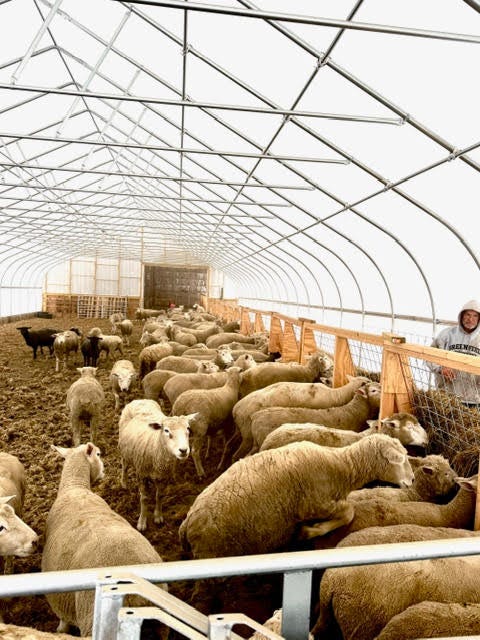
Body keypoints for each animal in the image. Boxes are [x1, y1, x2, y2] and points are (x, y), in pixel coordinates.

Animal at [41, 442, 168, 637]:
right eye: (99, 454)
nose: (104, 470)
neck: (75, 487)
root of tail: (133, 593)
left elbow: (63, 621)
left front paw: (59, 631)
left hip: (92, 618)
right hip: (161, 622)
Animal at [118, 399, 197, 531]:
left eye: (188, 429)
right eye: (166, 430)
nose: (183, 450)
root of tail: (140, 400)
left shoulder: (164, 477)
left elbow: (159, 496)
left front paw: (158, 516)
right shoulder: (141, 474)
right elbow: (144, 499)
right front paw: (142, 522)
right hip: (124, 450)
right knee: (124, 464)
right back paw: (124, 483)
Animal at [179, 434, 414, 560]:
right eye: (401, 459)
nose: (412, 480)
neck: (342, 466)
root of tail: (187, 522)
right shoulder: (313, 504)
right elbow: (349, 512)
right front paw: (309, 531)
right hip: (213, 552)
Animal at [230, 375, 372, 462]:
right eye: (366, 382)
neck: (336, 395)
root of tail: (236, 409)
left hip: (241, 431)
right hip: (247, 435)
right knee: (237, 455)